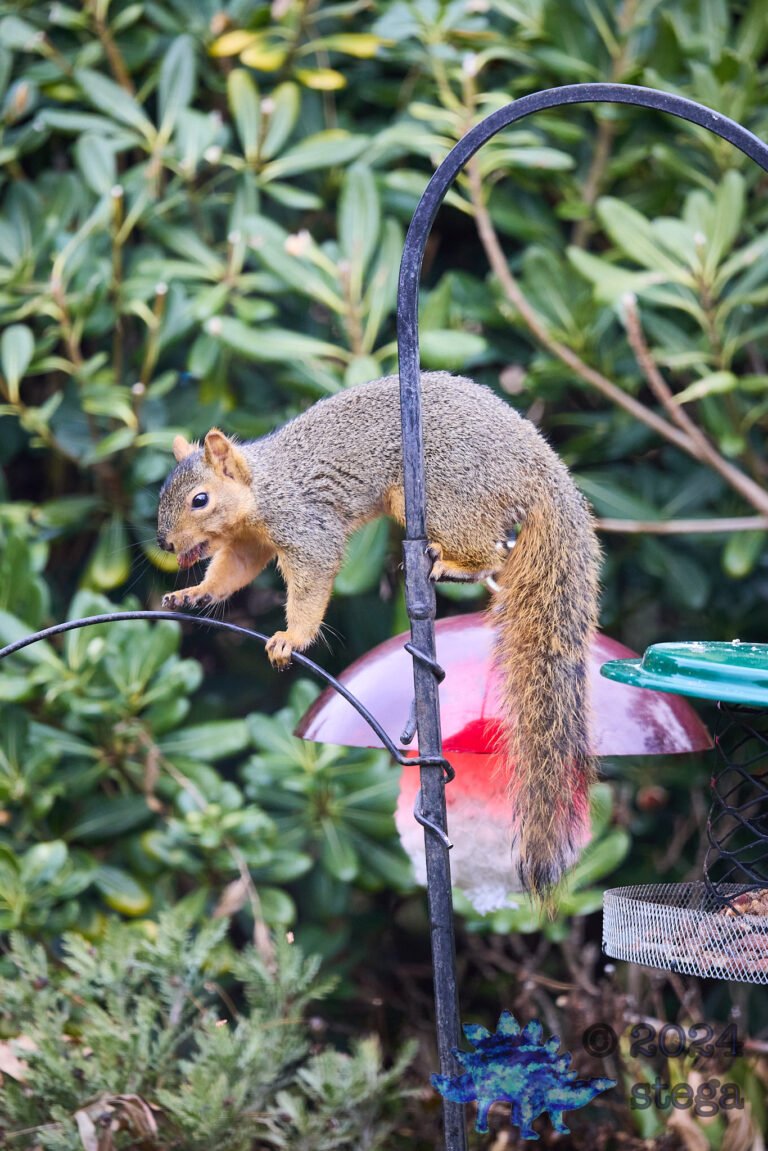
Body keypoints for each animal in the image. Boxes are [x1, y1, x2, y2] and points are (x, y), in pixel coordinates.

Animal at [156, 372, 601, 897]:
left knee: (490, 555)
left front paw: (291, 638)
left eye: (199, 500)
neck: (261, 488)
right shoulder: (249, 542)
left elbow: (311, 582)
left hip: (447, 493)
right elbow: (231, 571)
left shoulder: (307, 526)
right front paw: (193, 593)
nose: (164, 543)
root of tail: (538, 461)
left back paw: (455, 564)